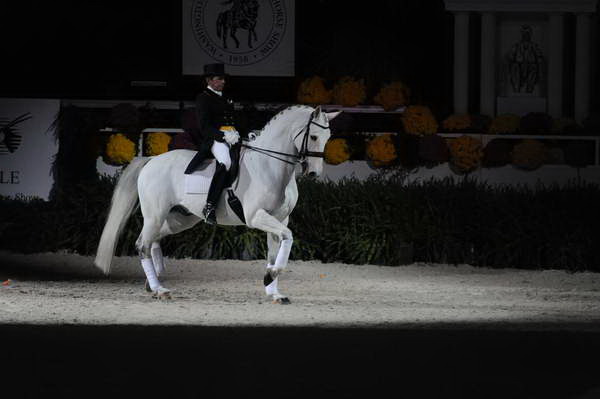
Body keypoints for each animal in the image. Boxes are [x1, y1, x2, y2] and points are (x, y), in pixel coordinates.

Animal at [94, 105, 338, 304]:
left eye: (328, 137)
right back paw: (160, 289)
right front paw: (271, 275)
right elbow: (288, 236)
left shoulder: (279, 219)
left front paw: (274, 290)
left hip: (181, 219)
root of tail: (152, 160)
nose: (314, 174)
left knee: (153, 239)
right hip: (155, 214)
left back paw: (154, 281)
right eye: (313, 137)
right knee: (142, 244)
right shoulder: (256, 216)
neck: (269, 165)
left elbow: (277, 249)